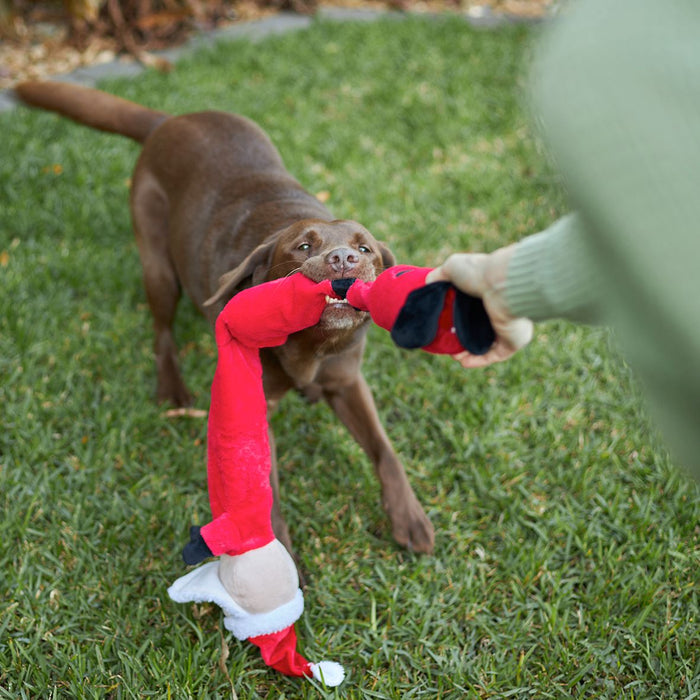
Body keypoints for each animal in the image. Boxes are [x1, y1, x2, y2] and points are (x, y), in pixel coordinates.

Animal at [13, 82, 434, 560]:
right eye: (304, 246)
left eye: (365, 250)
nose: (343, 258)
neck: (309, 345)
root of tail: (168, 120)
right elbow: (264, 491)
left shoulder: (347, 380)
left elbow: (386, 450)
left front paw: (409, 517)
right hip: (158, 265)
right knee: (162, 330)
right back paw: (173, 389)